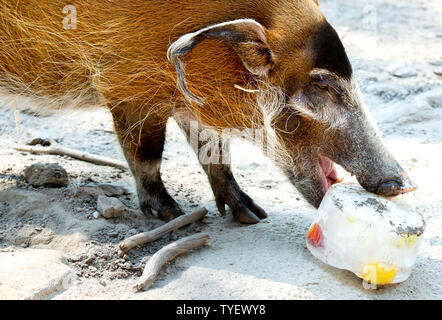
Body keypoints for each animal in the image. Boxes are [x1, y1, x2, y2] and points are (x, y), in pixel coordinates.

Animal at [0, 1, 414, 224]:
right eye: (323, 85)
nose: (407, 184)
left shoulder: (192, 105)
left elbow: (216, 155)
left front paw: (253, 215)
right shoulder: (127, 88)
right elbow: (146, 155)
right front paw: (171, 214)